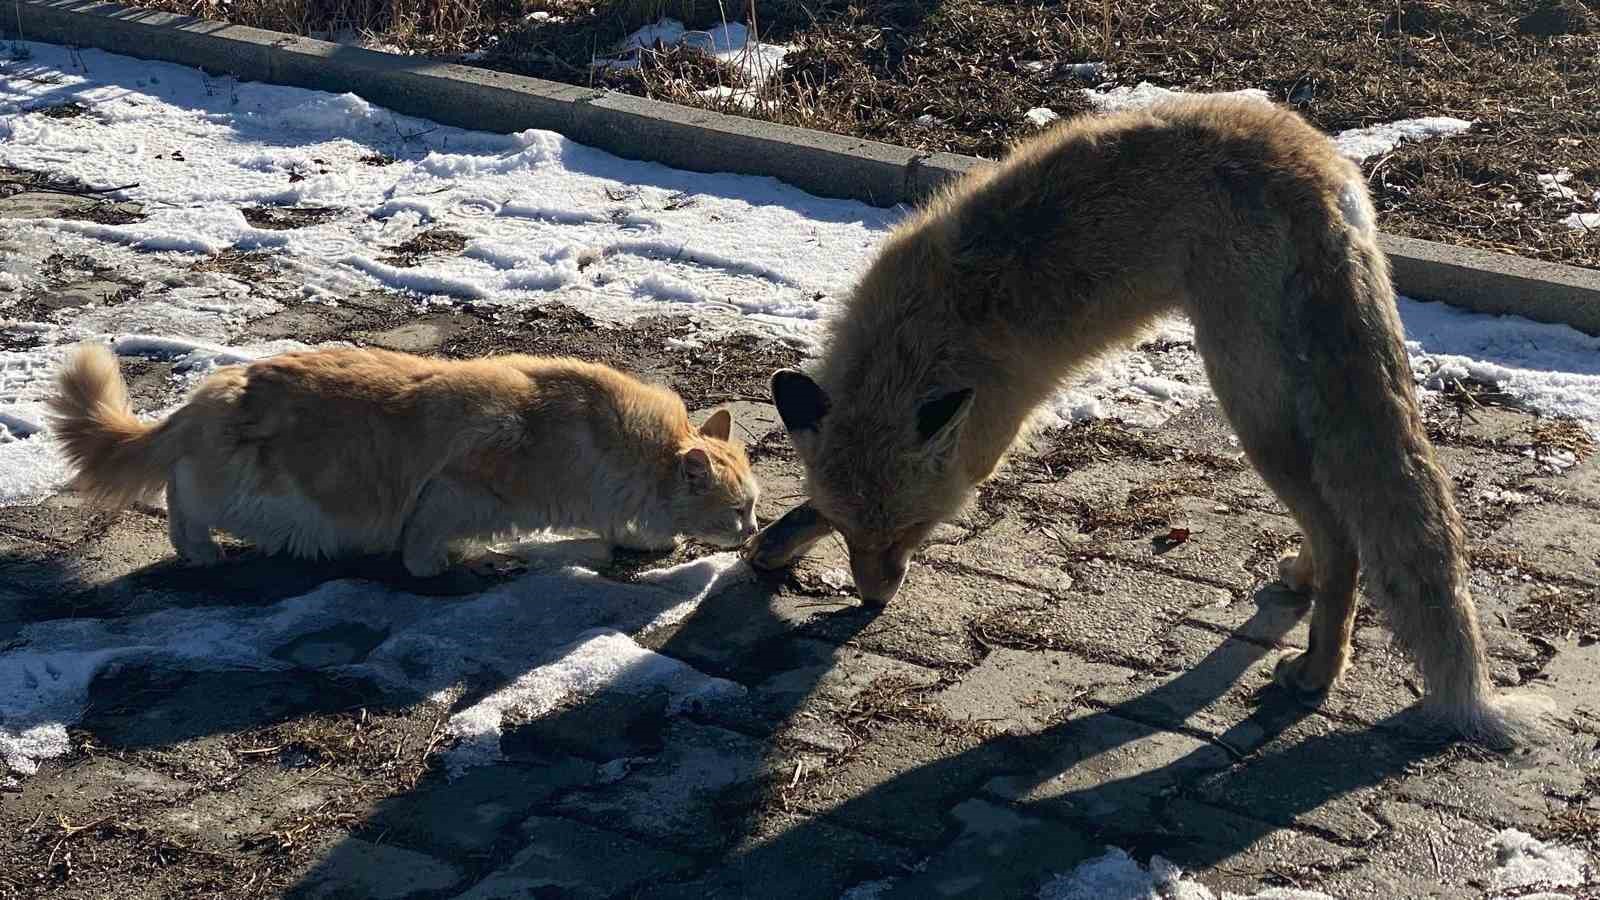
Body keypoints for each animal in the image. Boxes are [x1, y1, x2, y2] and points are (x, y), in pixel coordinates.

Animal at [43, 342, 755, 573]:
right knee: (182, 501)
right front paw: (447, 565)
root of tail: (212, 390)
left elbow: (619, 528)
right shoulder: (455, 489)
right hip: (251, 492)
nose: (751, 535)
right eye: (739, 511)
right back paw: (203, 552)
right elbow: (424, 547)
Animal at [745, 94, 1548, 746]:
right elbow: (803, 505)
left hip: (1247, 404)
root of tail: (1320, 166)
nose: (873, 601)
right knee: (1337, 523)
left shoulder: (986, 436)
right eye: (854, 533)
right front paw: (775, 542)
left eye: (913, 531)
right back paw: (1303, 580)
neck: (922, 335)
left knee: (1343, 531)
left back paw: (1320, 670)